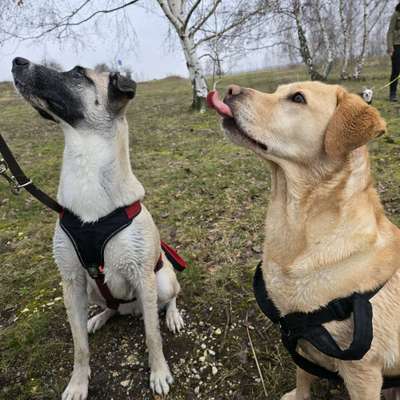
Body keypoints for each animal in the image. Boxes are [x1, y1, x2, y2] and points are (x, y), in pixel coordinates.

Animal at [12, 57, 184, 400]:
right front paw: (78, 383)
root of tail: (131, 308)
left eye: (78, 73)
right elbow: (79, 347)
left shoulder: (143, 276)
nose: (17, 61)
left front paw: (159, 373)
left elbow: (152, 336)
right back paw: (100, 317)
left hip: (161, 282)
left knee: (169, 299)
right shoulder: (71, 282)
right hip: (91, 291)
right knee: (112, 308)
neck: (86, 165)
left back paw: (172, 316)